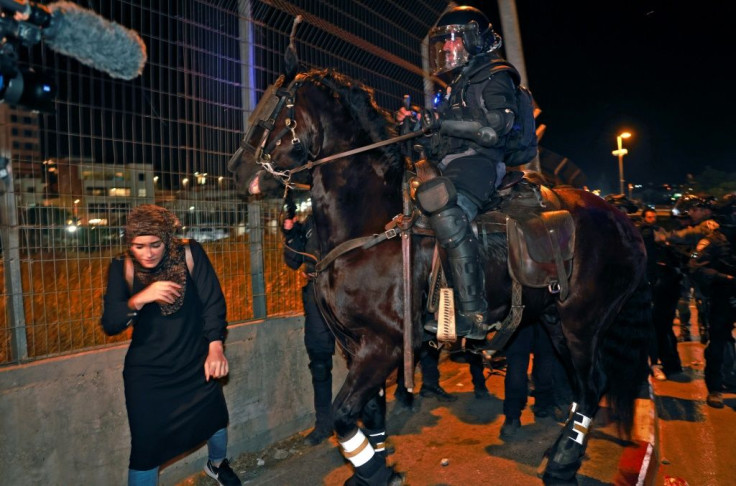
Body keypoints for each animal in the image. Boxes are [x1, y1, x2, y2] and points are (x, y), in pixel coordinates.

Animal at [229, 69, 648, 486]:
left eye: (272, 108)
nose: (237, 170)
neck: (371, 222)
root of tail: (625, 223)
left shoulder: (383, 345)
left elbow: (343, 415)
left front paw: (375, 472)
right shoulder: (356, 346)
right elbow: (371, 413)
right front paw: (372, 471)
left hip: (582, 322)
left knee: (593, 385)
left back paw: (562, 463)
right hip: (555, 319)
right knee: (583, 384)